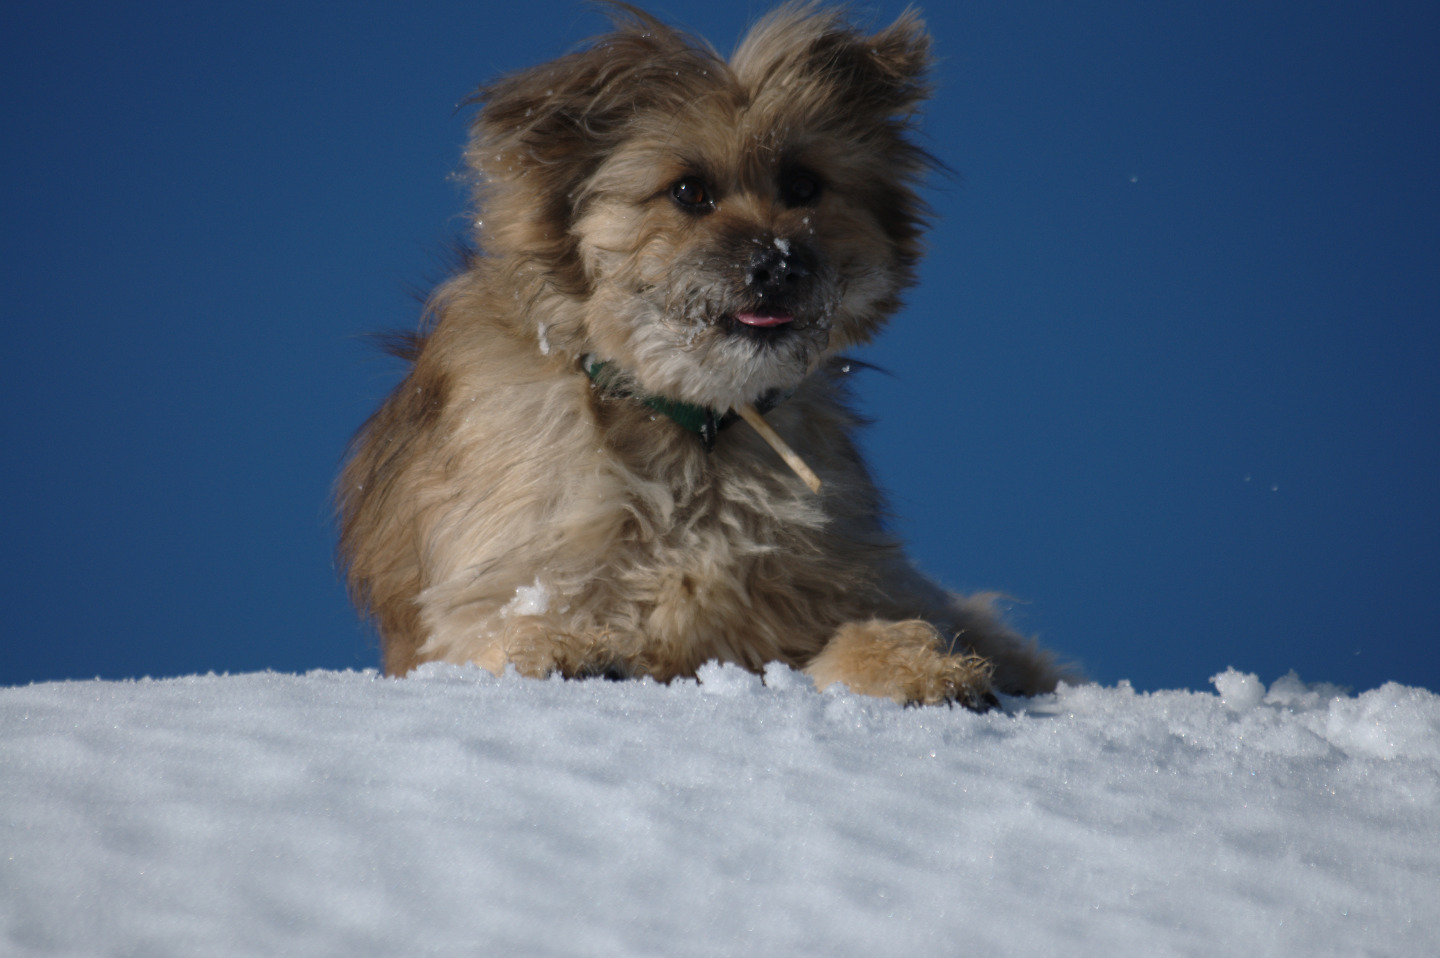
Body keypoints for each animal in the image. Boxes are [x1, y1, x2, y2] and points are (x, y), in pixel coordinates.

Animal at [339, 3, 1071, 705]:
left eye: (803, 186)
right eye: (688, 190)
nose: (777, 265)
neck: (693, 427)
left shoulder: (828, 588)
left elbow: (863, 631)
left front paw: (913, 666)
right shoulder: (484, 591)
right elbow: (504, 628)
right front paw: (566, 646)